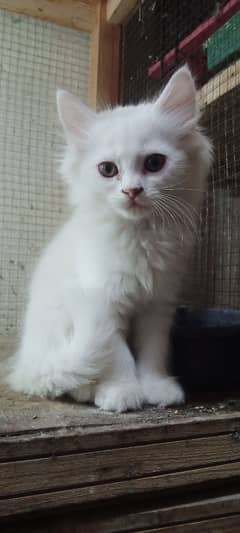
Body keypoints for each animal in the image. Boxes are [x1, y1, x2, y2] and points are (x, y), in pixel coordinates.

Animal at [7, 66, 212, 414]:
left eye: (154, 163)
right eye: (107, 169)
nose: (132, 191)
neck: (140, 237)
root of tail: (25, 366)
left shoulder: (157, 306)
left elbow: (152, 353)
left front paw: (156, 388)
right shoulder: (103, 301)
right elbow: (119, 357)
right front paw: (122, 393)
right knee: (66, 376)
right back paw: (86, 390)